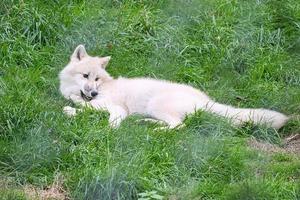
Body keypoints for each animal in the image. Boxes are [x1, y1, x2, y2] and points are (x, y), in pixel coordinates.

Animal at [58, 45, 288, 130]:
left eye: (97, 79)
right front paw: (73, 109)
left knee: (179, 126)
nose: (94, 92)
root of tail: (206, 100)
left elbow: (88, 108)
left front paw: (110, 127)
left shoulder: (116, 107)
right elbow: (84, 107)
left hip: (156, 104)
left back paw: (156, 130)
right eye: (86, 76)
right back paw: (147, 123)